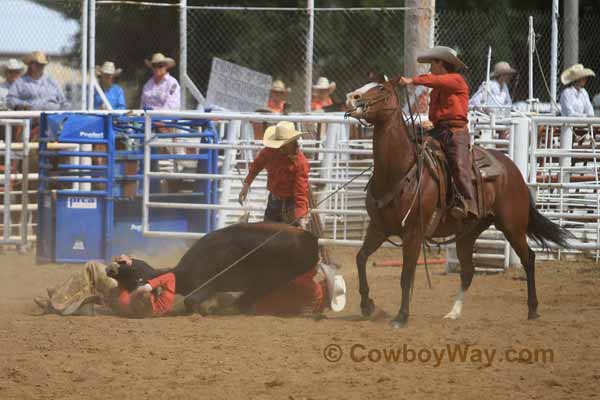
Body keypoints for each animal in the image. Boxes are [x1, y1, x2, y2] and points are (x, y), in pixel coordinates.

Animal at [344, 79, 568, 328]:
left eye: (381, 89)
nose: (351, 97)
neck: (399, 171)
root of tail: (513, 170)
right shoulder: (378, 228)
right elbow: (361, 258)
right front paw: (367, 305)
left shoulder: (413, 232)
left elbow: (406, 275)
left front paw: (401, 317)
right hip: (467, 233)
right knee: (468, 271)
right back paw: (453, 312)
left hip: (512, 226)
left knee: (528, 258)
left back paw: (533, 309)